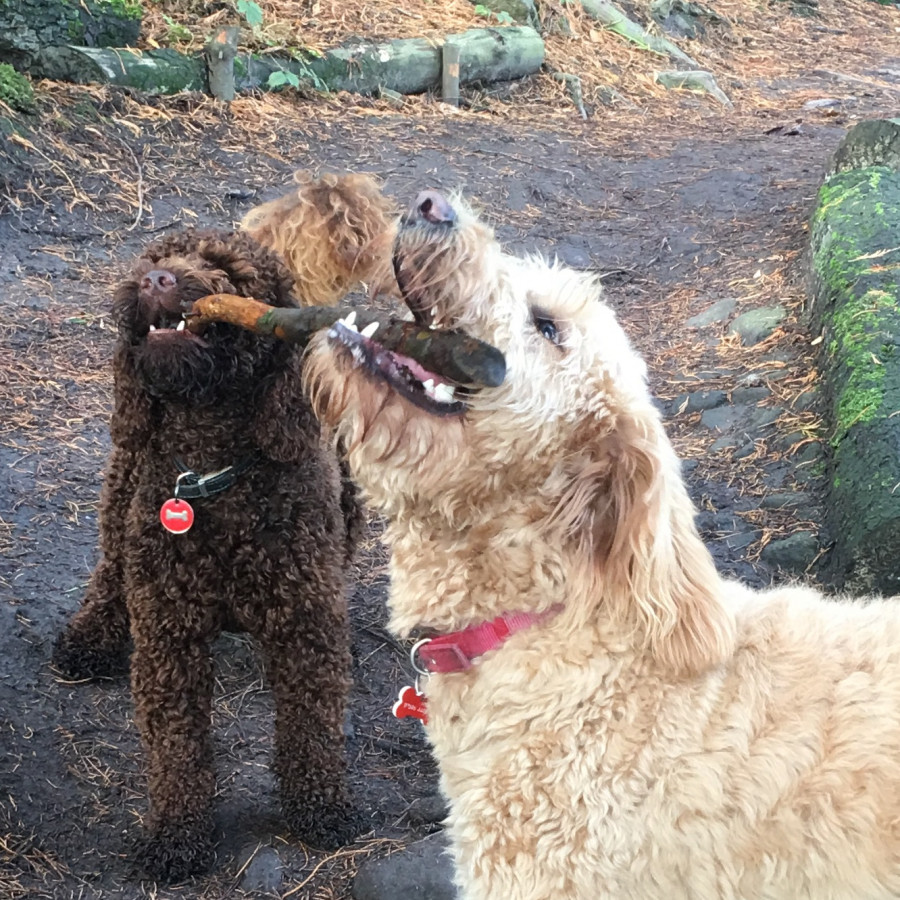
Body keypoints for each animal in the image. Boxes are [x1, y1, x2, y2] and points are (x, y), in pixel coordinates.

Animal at [51, 229, 362, 884]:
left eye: (226, 271)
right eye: (152, 258)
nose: (156, 279)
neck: (213, 473)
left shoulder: (305, 624)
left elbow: (313, 728)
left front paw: (320, 808)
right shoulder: (169, 637)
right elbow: (177, 749)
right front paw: (177, 834)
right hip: (123, 485)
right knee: (109, 570)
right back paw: (90, 635)